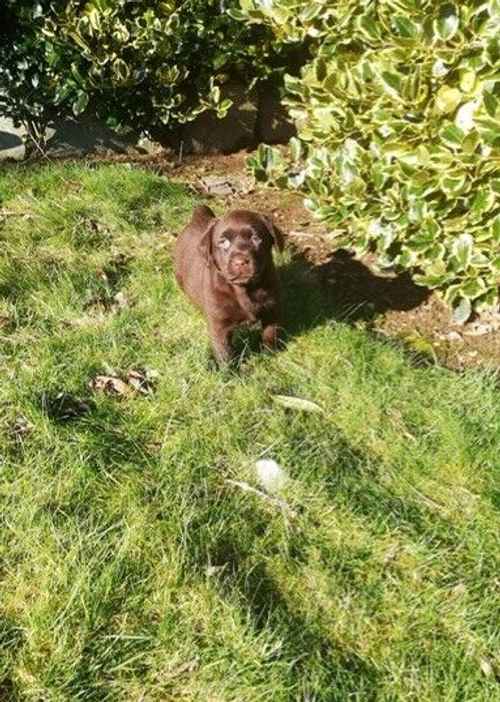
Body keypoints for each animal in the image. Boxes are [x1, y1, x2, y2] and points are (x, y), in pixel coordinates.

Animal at [175, 206, 286, 366]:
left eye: (256, 238)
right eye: (223, 242)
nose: (240, 261)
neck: (245, 289)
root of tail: (198, 218)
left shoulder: (272, 309)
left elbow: (271, 333)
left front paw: (271, 355)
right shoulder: (219, 324)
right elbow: (224, 351)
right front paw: (230, 371)